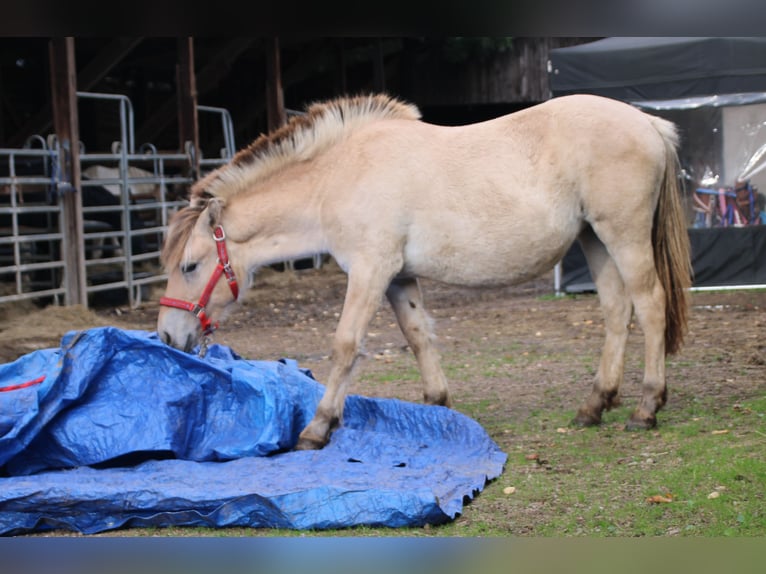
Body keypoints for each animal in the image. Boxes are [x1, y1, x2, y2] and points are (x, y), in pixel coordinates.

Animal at [156, 94, 696, 452]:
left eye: (190, 265)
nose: (166, 336)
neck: (338, 174)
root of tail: (649, 124)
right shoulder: (398, 277)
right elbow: (418, 336)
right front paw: (438, 408)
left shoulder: (370, 270)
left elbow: (345, 345)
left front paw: (318, 427)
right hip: (594, 240)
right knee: (615, 311)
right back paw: (594, 405)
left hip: (622, 236)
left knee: (650, 306)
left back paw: (646, 408)